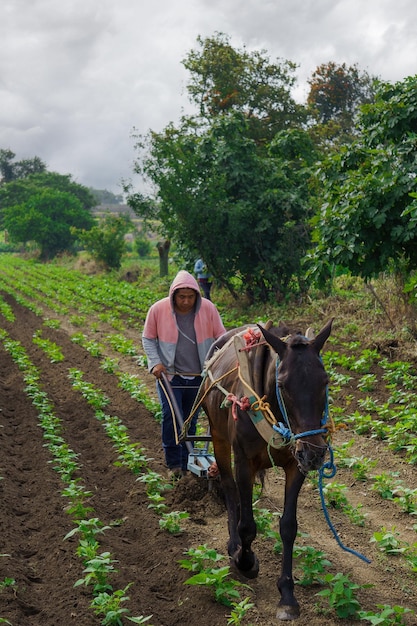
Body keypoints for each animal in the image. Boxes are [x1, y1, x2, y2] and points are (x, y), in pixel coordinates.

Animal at [200, 320, 334, 616]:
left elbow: (288, 526)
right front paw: (246, 561)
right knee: (229, 489)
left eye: (325, 381)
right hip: (218, 436)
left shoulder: (296, 466)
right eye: (282, 384)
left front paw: (287, 594)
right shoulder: (244, 462)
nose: (315, 453)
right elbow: (247, 525)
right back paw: (234, 547)